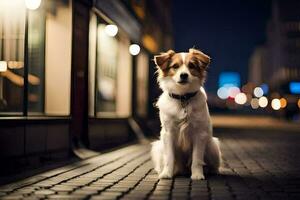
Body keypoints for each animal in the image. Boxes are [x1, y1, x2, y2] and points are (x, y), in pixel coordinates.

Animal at [151, 48, 221, 180]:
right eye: (175, 66)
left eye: (191, 65)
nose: (184, 75)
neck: (183, 97)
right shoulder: (168, 133)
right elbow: (169, 157)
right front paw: (167, 173)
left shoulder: (200, 134)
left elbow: (197, 159)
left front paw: (197, 175)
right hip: (159, 147)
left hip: (212, 147)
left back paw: (210, 171)